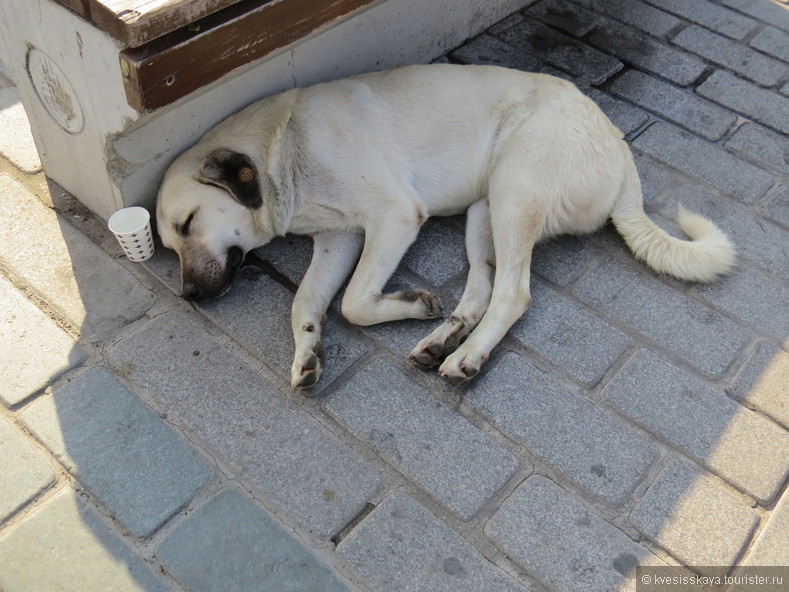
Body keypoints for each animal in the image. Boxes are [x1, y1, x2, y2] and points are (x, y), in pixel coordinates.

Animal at [157, 63, 736, 388]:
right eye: (169, 244)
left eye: (188, 223)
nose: (188, 296)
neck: (282, 149)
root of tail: (616, 139)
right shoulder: (336, 237)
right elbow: (305, 303)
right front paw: (307, 352)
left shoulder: (393, 217)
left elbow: (354, 302)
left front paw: (406, 304)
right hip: (483, 214)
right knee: (480, 291)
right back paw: (445, 338)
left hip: (514, 189)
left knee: (512, 294)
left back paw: (465, 357)